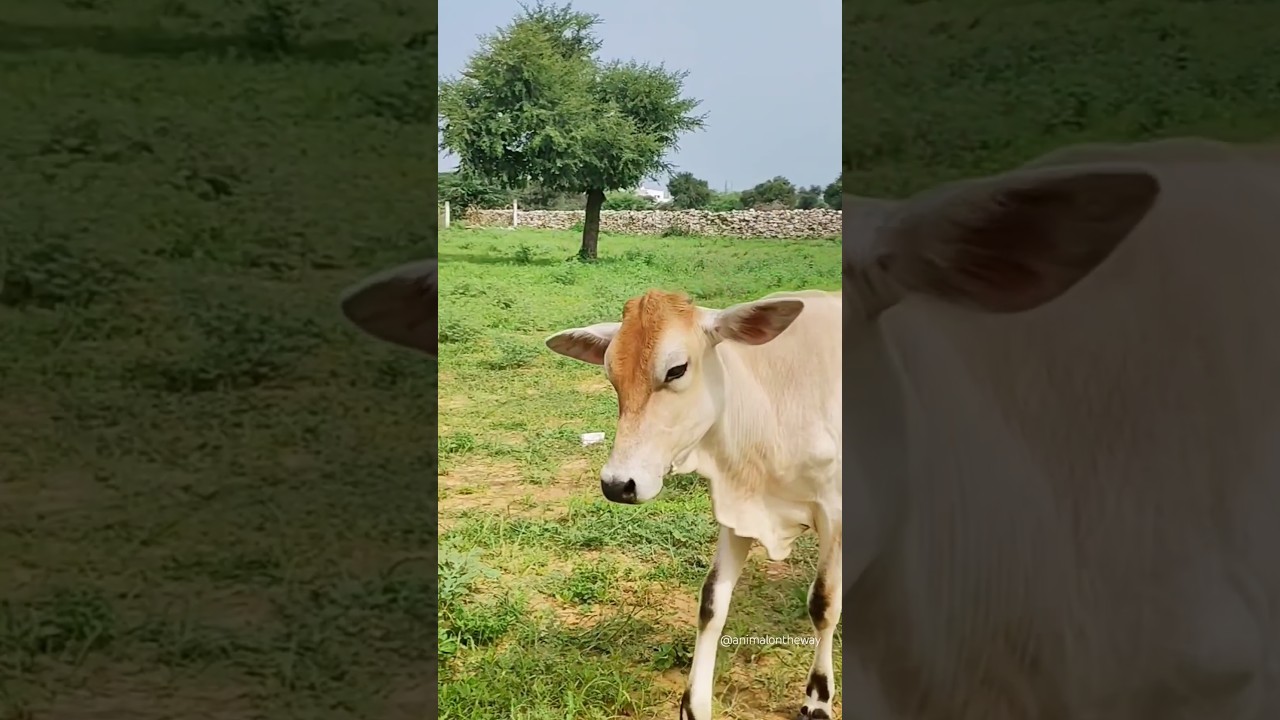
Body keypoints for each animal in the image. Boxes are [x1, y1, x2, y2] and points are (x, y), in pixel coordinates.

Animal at [545, 288, 842, 719]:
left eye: (676, 370)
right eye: (611, 375)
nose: (618, 484)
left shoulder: (835, 515)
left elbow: (823, 604)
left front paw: (818, 698)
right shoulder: (737, 512)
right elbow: (712, 603)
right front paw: (694, 704)